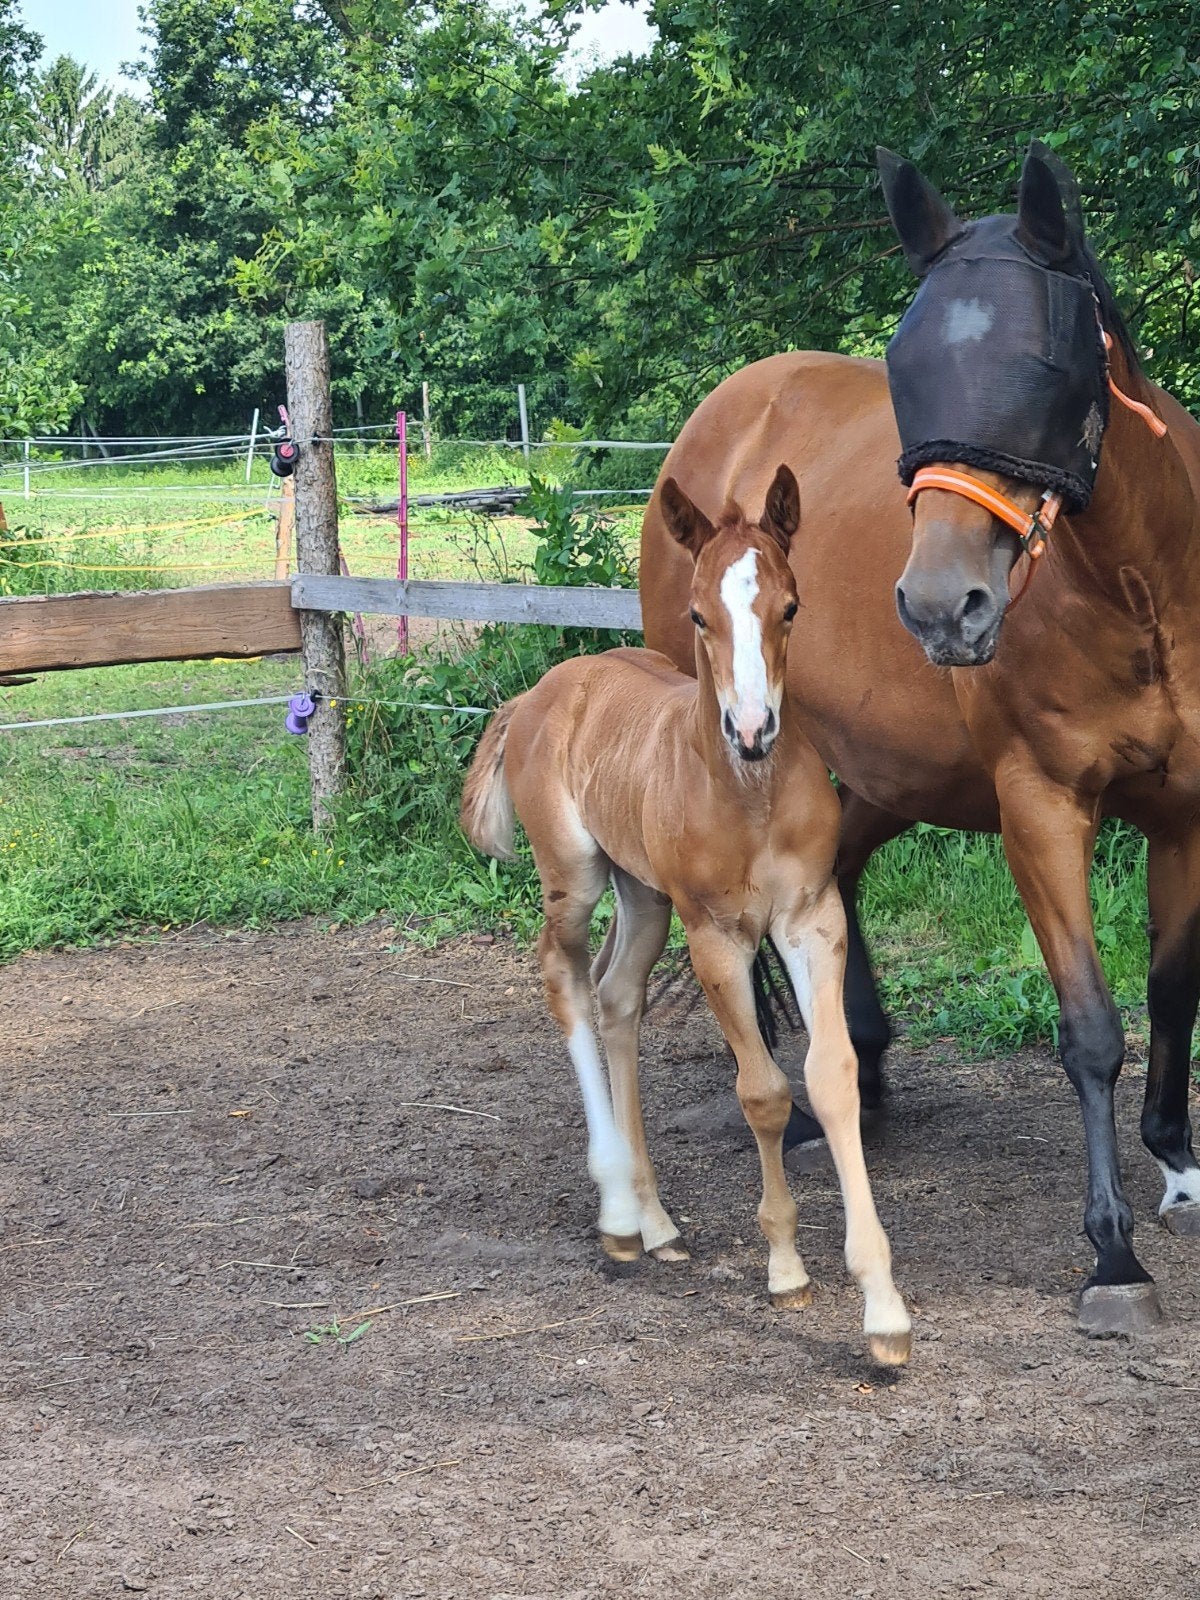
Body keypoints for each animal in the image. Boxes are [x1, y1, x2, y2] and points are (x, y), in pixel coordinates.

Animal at [461, 466, 911, 1365]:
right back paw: (616, 1214)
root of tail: (542, 692)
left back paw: (657, 1221)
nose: (753, 729)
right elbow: (763, 1092)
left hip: (644, 896)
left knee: (616, 997)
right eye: (700, 614)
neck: (751, 797)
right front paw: (785, 1269)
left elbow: (832, 1078)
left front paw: (883, 1309)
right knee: (565, 980)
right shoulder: (717, 938)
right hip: (576, 877)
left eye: (791, 607)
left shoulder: (813, 920)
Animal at [639, 142, 1200, 1339]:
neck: (1144, 596)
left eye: (1043, 360)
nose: (944, 606)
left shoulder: (1187, 812)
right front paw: (1113, 1254)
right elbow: (1091, 1027)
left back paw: (863, 1068)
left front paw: (1179, 1168)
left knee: (839, 875)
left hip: (875, 774)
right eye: (907, 363)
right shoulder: (1040, 811)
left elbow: (1173, 992)